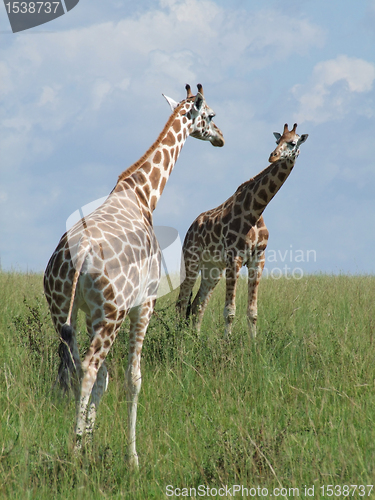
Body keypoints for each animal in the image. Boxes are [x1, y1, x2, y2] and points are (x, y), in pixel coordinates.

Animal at [44, 84, 226, 466]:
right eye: (211, 115)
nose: (221, 137)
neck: (143, 195)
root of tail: (78, 256)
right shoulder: (145, 305)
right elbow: (133, 378)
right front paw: (132, 458)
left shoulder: (89, 314)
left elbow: (108, 379)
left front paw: (91, 439)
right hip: (112, 314)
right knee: (88, 368)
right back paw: (74, 451)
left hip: (62, 310)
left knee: (74, 369)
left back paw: (77, 444)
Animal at [178, 123, 310, 338]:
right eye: (277, 140)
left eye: (292, 142)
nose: (273, 156)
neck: (257, 209)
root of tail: (190, 228)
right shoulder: (235, 258)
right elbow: (229, 310)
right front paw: (227, 342)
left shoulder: (258, 259)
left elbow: (252, 312)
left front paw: (253, 343)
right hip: (191, 261)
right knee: (182, 302)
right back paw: (177, 338)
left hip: (212, 269)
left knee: (198, 303)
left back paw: (194, 338)